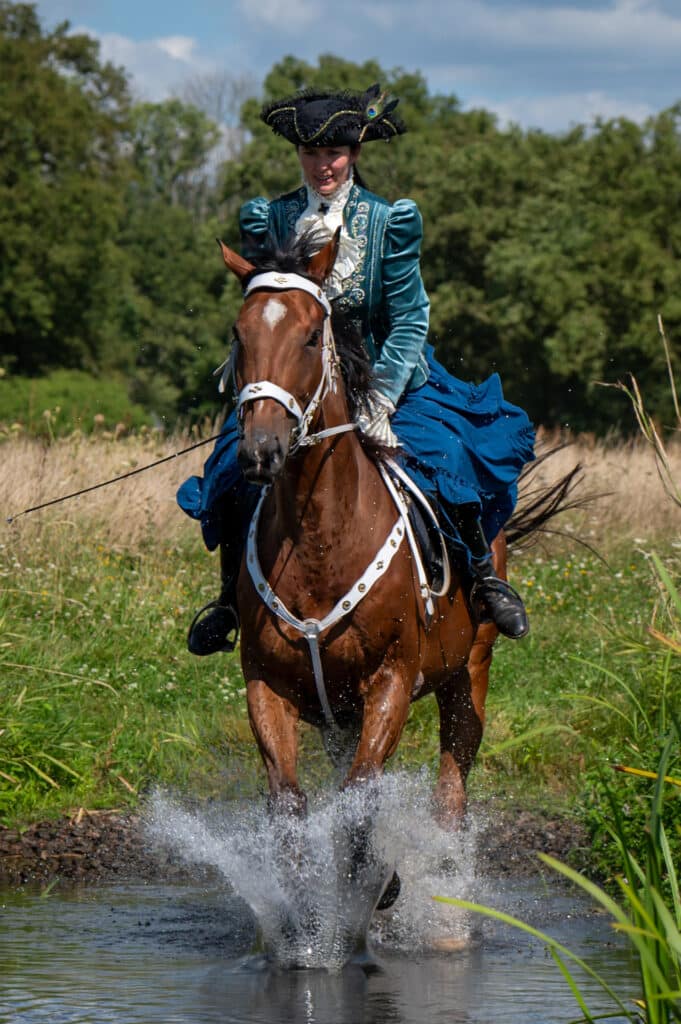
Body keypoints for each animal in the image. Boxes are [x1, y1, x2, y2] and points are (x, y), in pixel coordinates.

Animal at [218, 230, 503, 847]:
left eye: (309, 337)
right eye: (238, 334)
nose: (261, 450)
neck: (321, 542)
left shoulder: (391, 680)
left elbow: (359, 797)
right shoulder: (268, 685)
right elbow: (290, 803)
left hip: (469, 669)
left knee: (452, 785)